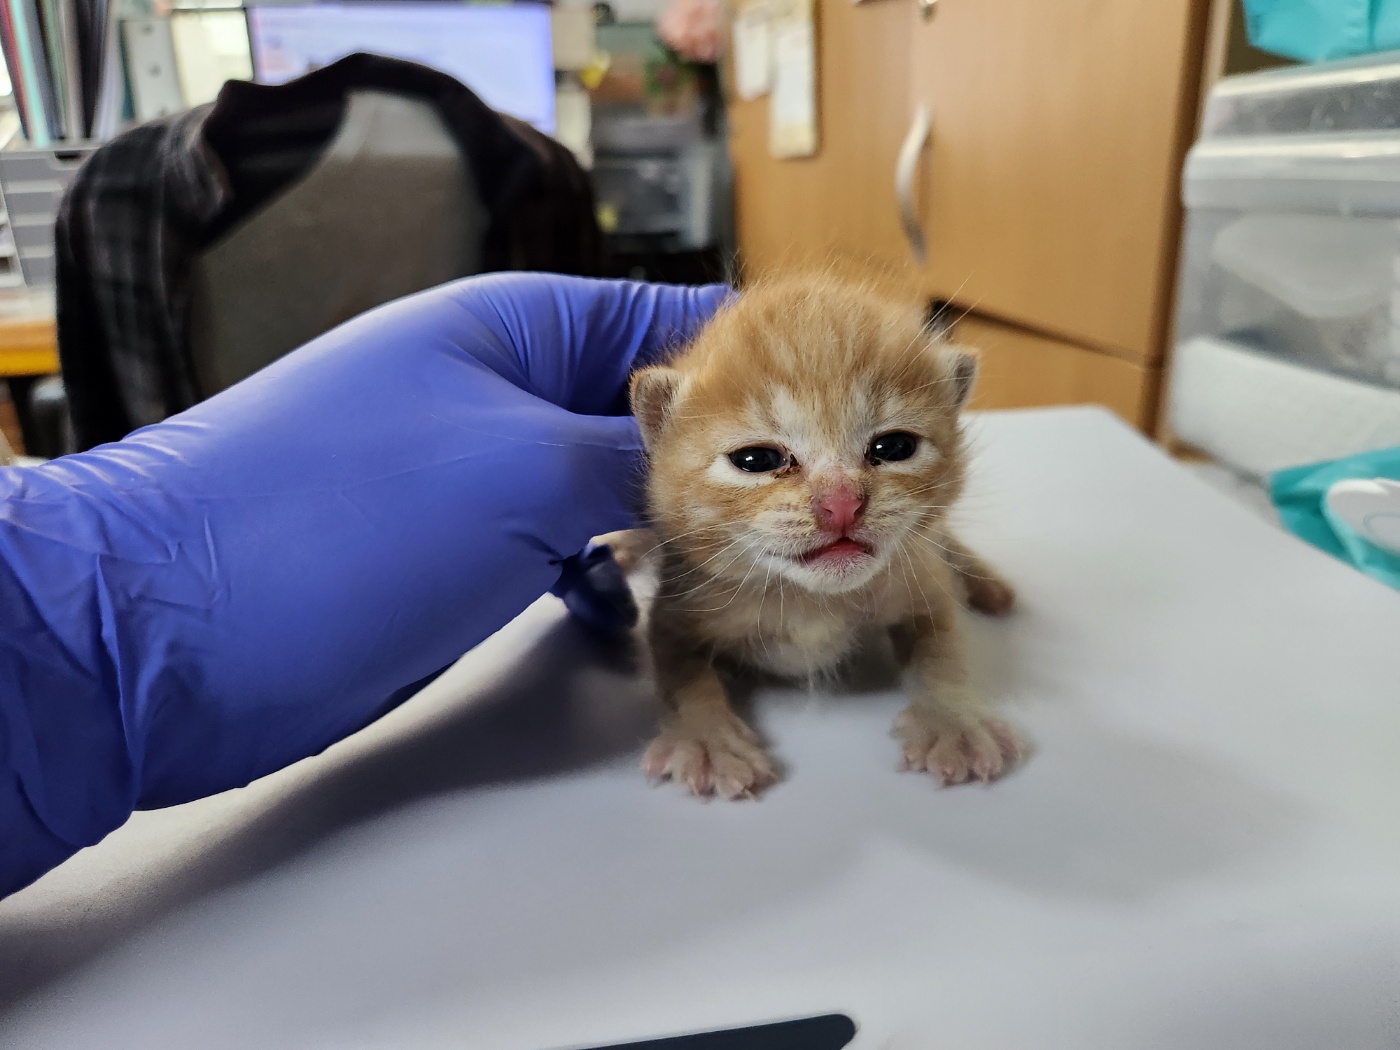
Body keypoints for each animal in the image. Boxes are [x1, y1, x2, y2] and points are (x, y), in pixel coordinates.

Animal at [618, 275, 1024, 800]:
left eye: (895, 447)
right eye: (757, 460)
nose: (842, 503)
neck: (809, 599)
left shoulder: (917, 580)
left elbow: (942, 646)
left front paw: (953, 720)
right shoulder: (680, 603)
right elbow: (681, 674)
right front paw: (706, 739)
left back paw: (987, 584)